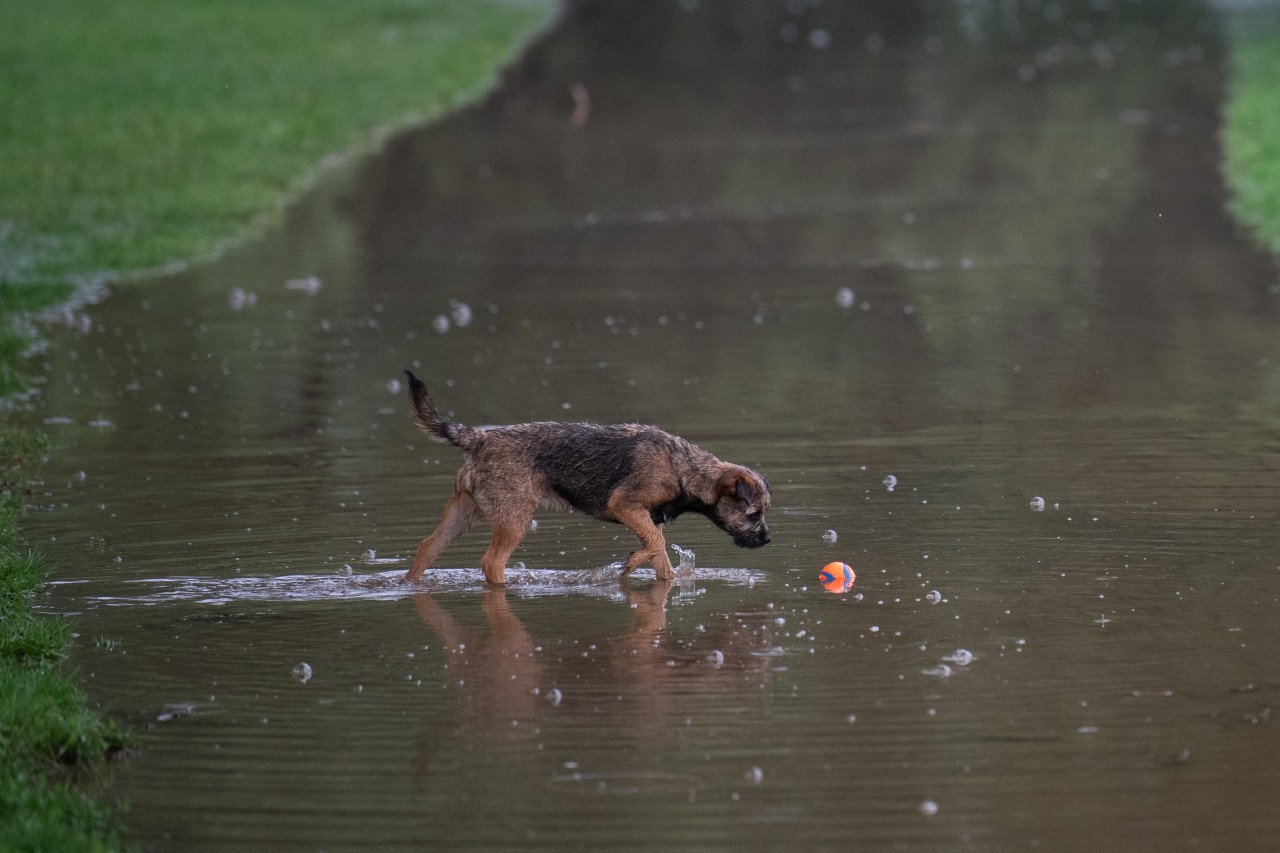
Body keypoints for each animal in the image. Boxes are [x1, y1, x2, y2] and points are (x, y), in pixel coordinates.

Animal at [404, 371, 773, 584]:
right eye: (753, 513)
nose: (768, 539)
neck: (683, 469)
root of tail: (480, 439)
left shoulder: (650, 519)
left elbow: (661, 558)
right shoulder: (625, 505)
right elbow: (656, 544)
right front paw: (629, 563)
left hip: (465, 510)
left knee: (426, 548)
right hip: (514, 518)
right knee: (491, 562)